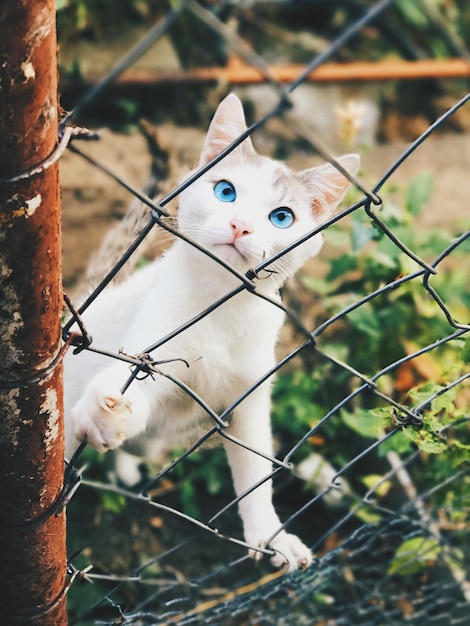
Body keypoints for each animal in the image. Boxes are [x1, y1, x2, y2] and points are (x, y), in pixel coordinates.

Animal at [64, 94, 360, 572]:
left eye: (282, 217)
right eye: (226, 191)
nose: (241, 226)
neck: (221, 305)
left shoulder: (250, 396)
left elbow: (257, 471)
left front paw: (270, 534)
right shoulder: (154, 346)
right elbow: (134, 382)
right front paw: (106, 410)